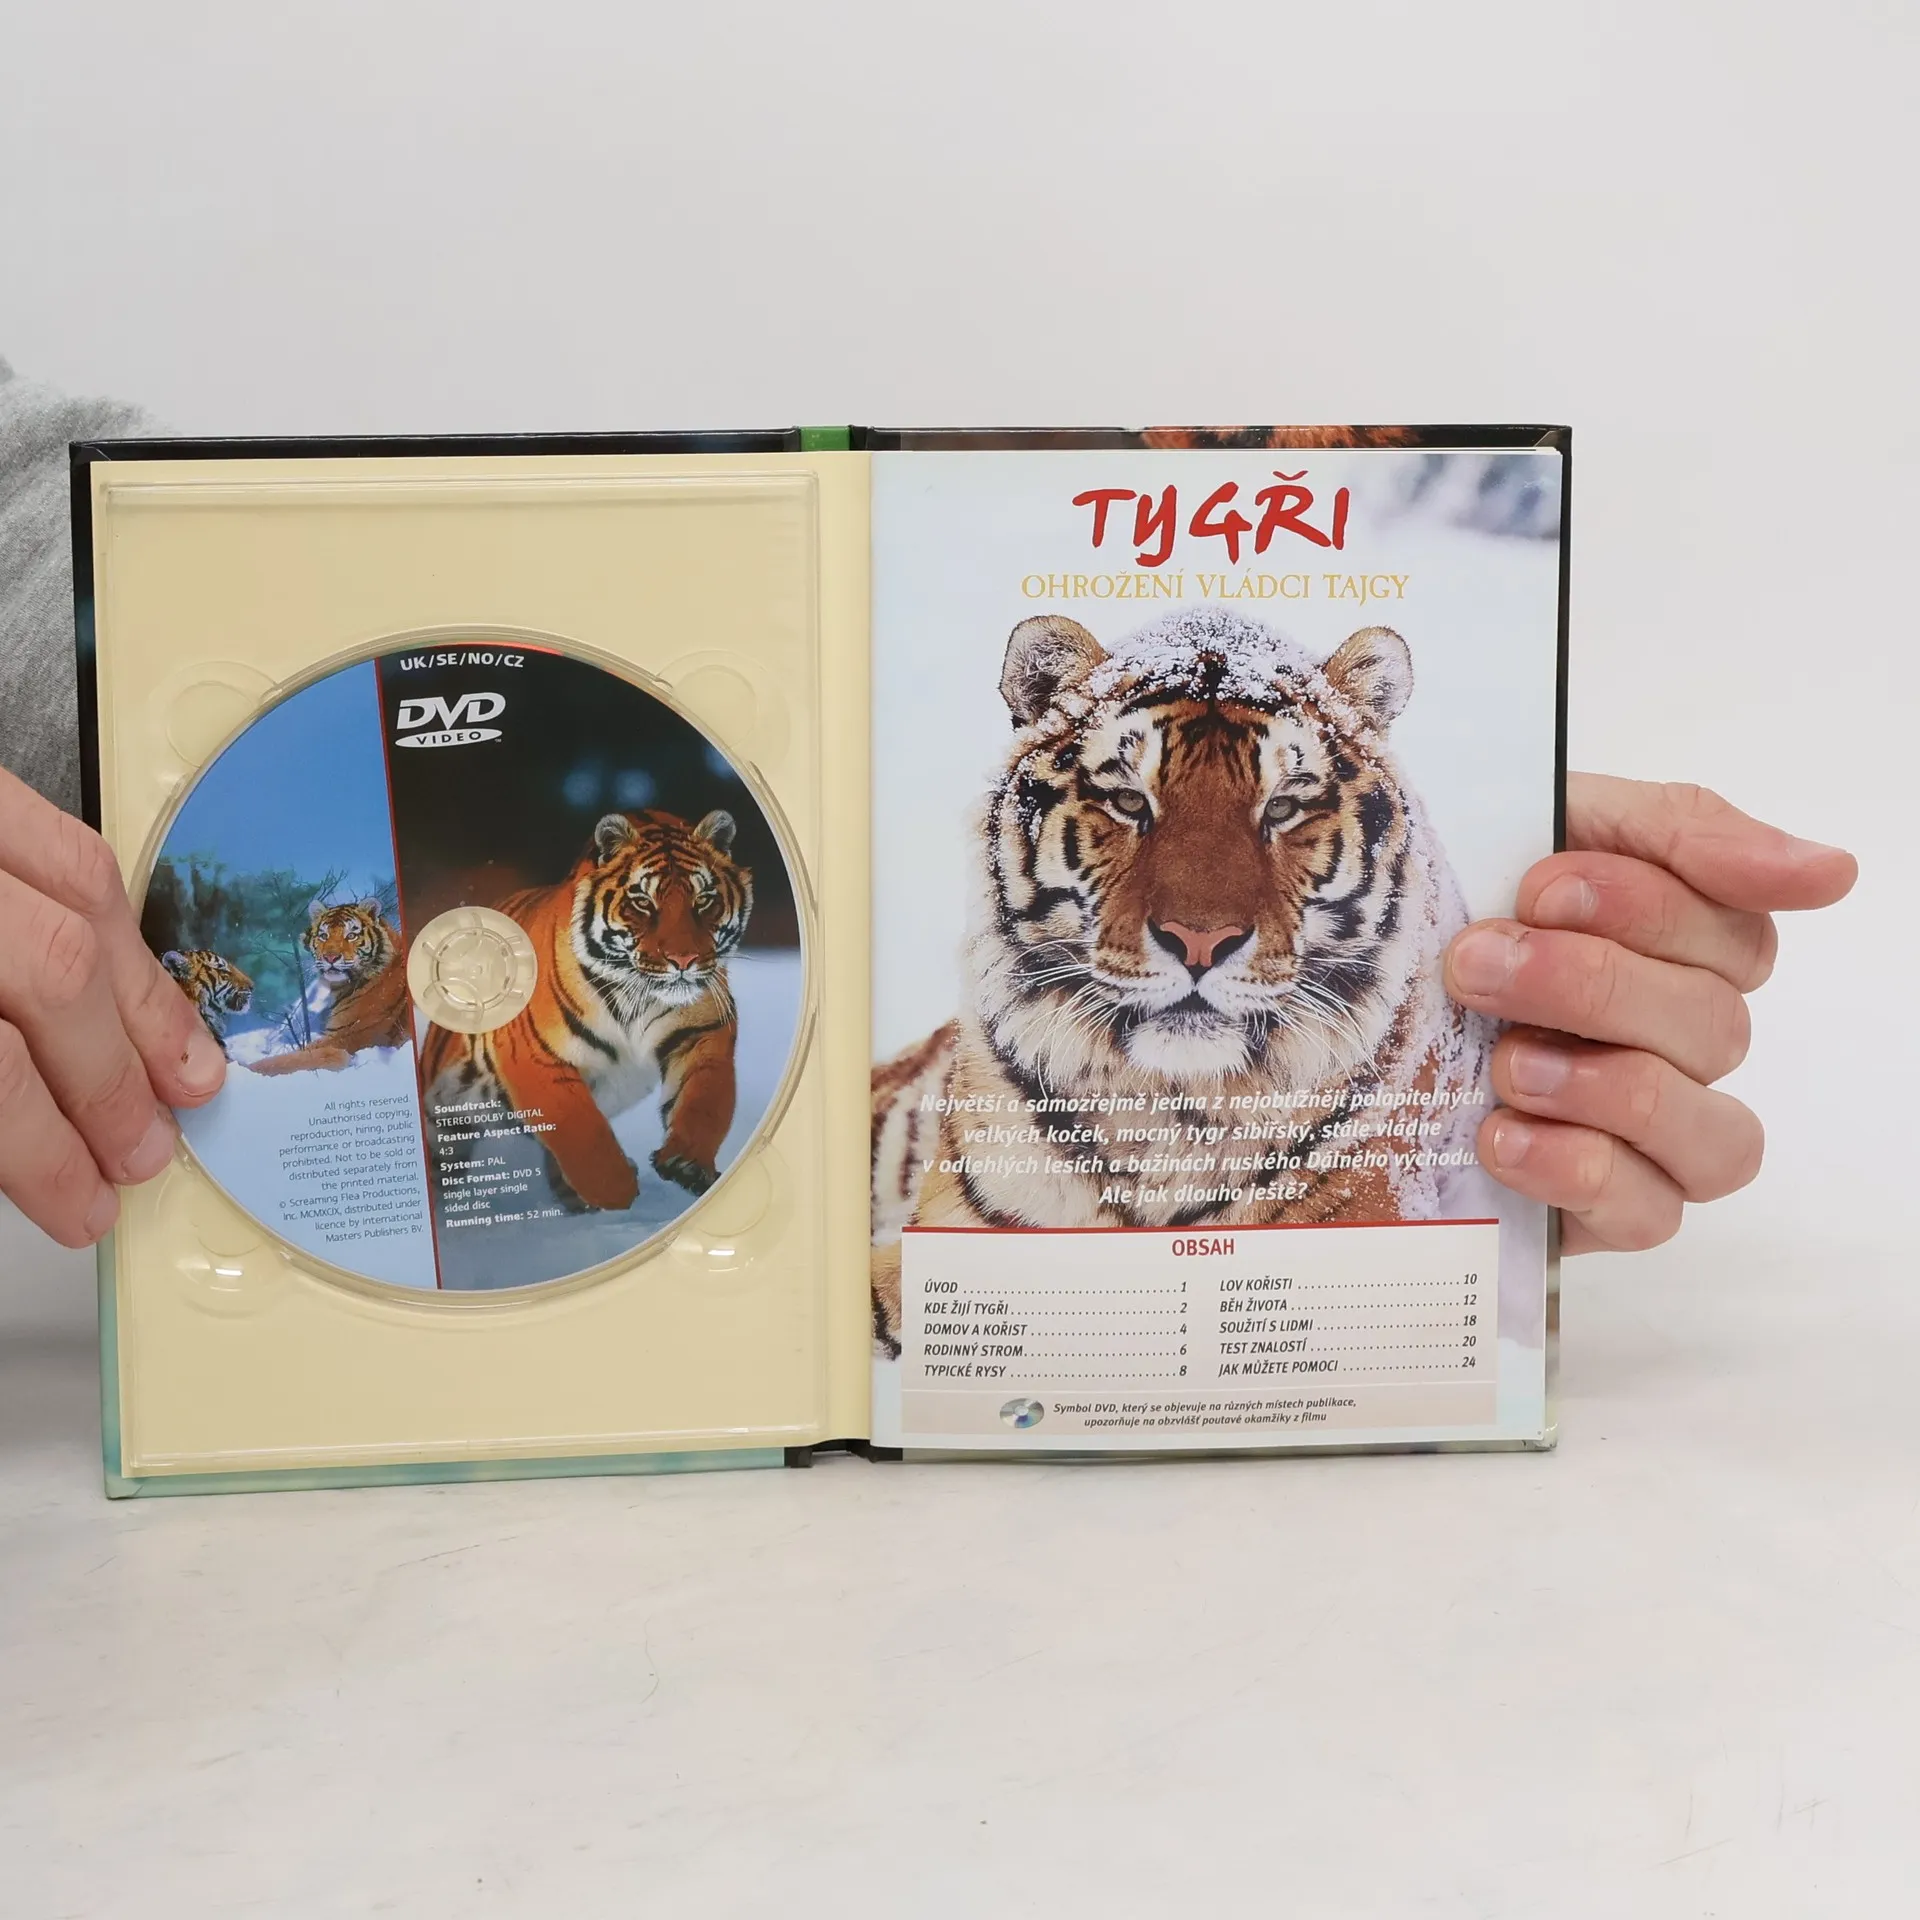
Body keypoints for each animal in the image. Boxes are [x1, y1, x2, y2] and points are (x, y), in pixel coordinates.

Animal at [419, 808, 751, 1212]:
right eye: (643, 902)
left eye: (704, 900)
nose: (684, 960)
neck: (636, 995)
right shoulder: (533, 1057)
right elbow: (581, 1129)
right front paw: (616, 1188)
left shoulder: (703, 1032)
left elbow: (707, 1100)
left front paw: (687, 1163)